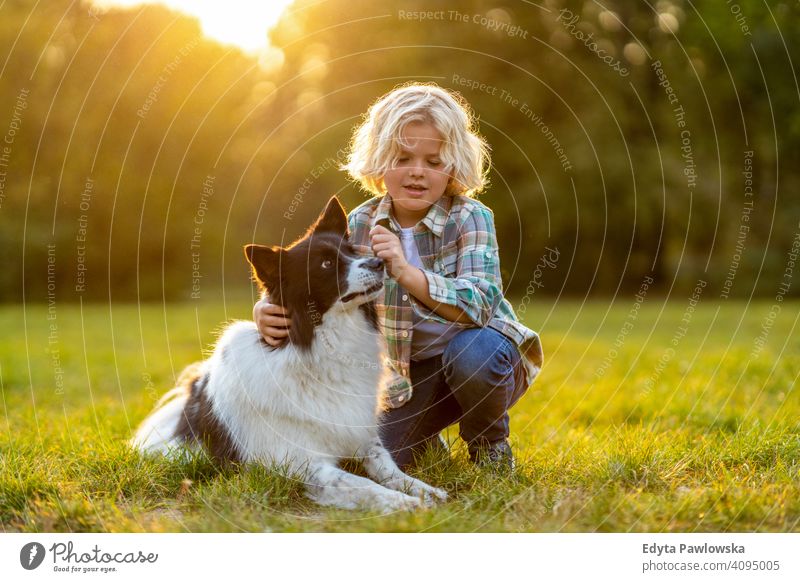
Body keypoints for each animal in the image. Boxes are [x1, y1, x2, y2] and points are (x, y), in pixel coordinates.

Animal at [130, 196, 444, 512]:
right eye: (326, 264)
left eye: (351, 251)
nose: (380, 262)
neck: (321, 343)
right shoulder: (303, 464)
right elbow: (364, 485)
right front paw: (406, 504)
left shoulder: (360, 435)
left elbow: (389, 468)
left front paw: (425, 491)